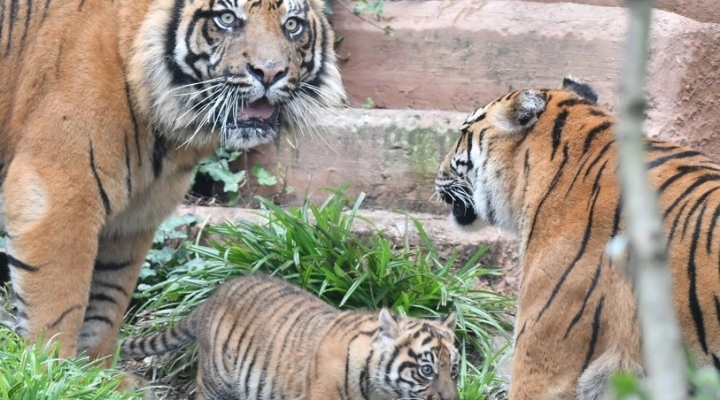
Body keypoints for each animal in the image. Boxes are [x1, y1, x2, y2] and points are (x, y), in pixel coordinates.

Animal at [0, 0, 346, 370]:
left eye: (292, 25)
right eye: (227, 18)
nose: (269, 73)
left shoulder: (135, 216)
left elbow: (108, 297)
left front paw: (98, 373)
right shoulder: (59, 189)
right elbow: (59, 300)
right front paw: (54, 369)